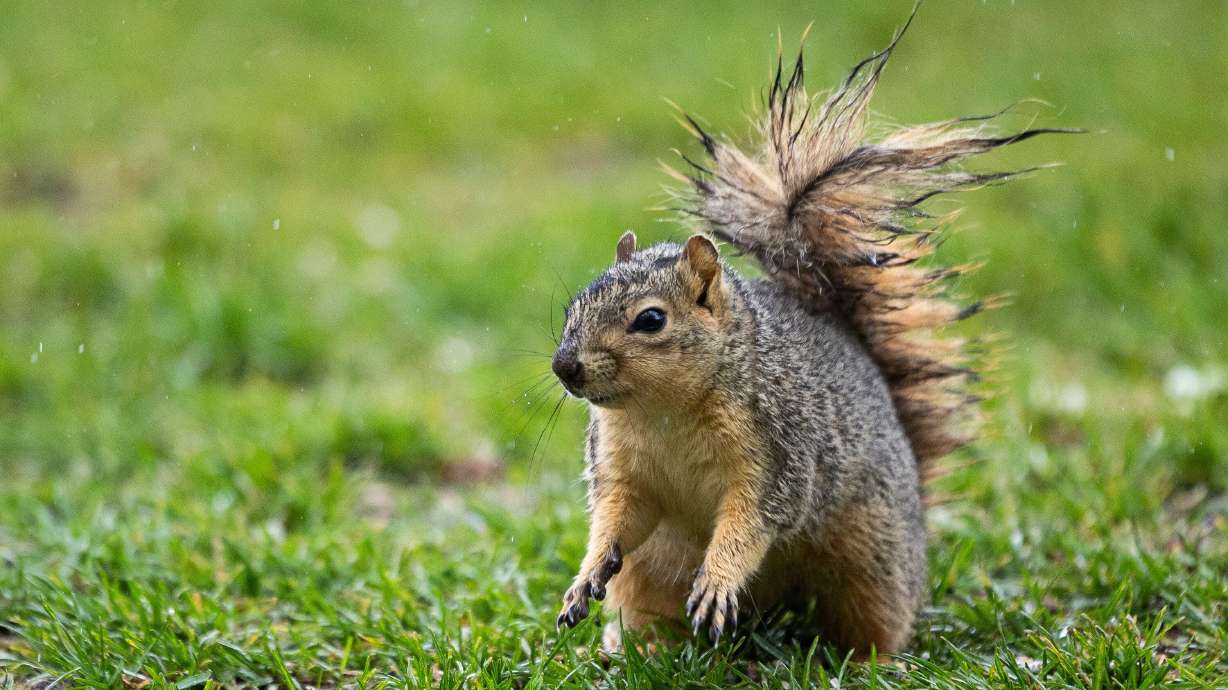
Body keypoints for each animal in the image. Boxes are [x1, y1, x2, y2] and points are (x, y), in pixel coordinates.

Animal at [550, 13, 1075, 656]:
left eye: (651, 320)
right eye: (576, 303)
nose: (565, 367)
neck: (662, 411)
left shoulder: (779, 453)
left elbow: (753, 519)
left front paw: (719, 579)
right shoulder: (622, 469)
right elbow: (618, 518)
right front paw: (584, 577)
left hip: (871, 557)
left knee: (874, 617)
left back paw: (877, 661)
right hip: (648, 578)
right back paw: (637, 652)